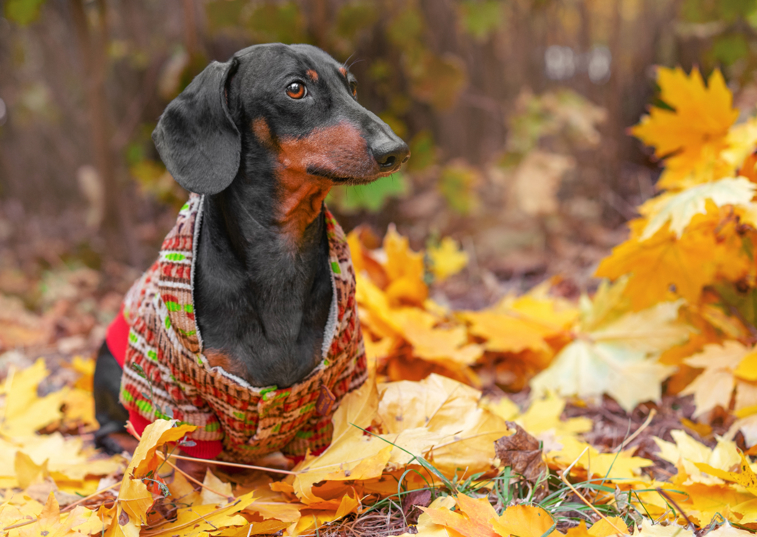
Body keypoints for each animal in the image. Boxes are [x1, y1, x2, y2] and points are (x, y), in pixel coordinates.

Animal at [96, 43, 414, 460]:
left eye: (353, 86)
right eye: (295, 89)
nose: (397, 151)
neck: (280, 255)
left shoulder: (340, 384)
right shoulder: (173, 397)